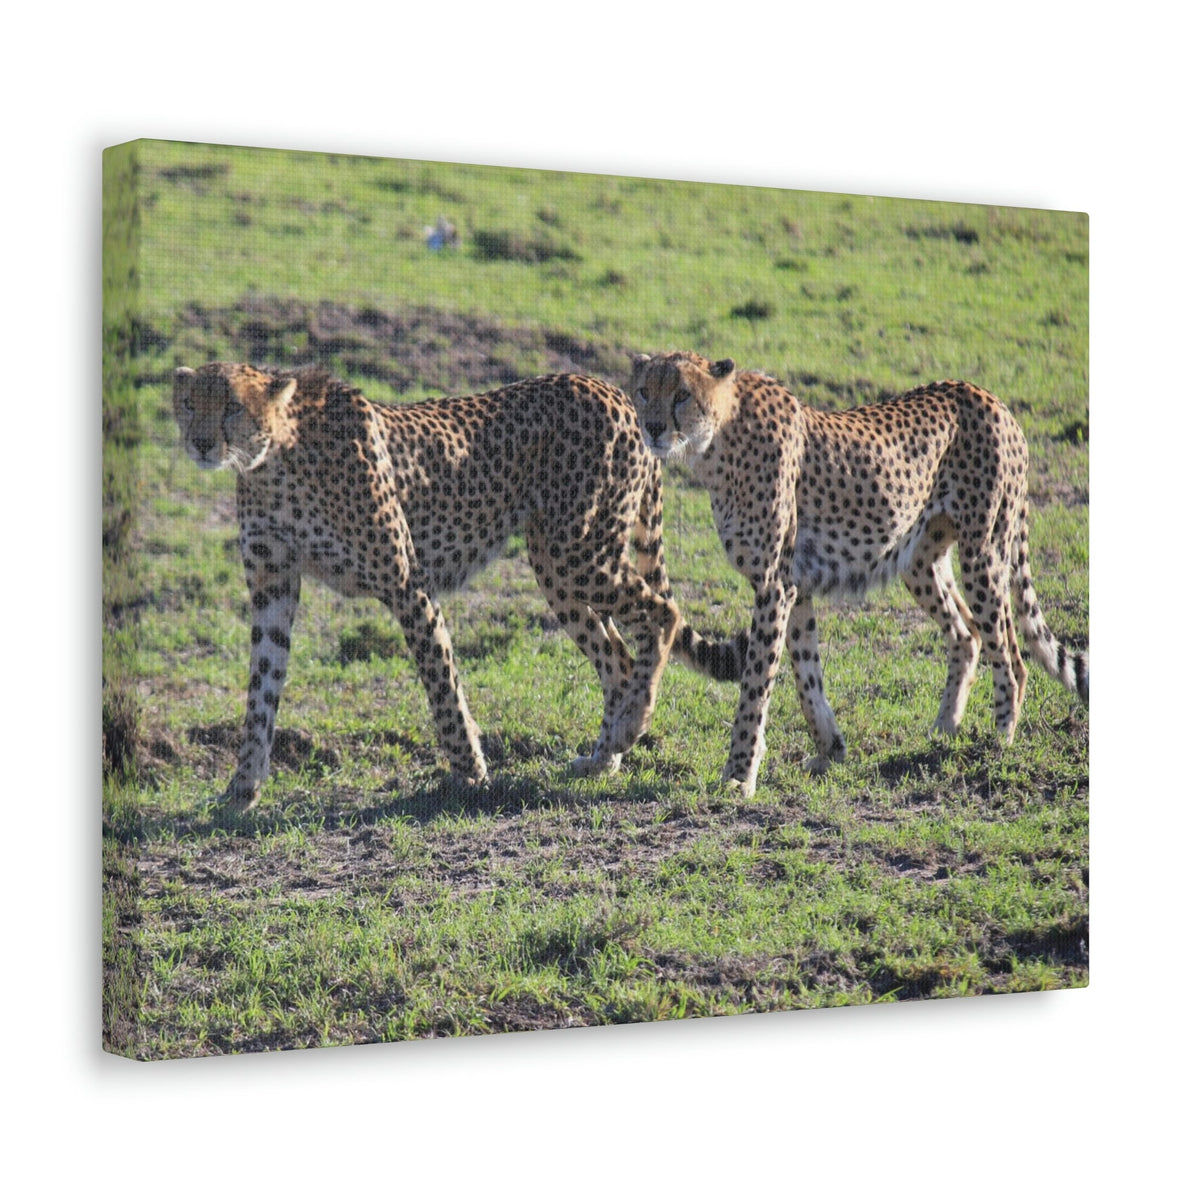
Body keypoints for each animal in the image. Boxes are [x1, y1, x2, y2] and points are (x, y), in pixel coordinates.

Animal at [172, 362, 743, 811]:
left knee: (662, 613)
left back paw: (629, 727)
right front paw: (241, 788)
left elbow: (440, 681)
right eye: (188, 403)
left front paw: (469, 772)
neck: (273, 461)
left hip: (579, 552)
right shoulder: (273, 588)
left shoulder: (406, 582)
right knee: (619, 657)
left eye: (231, 407)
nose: (200, 443)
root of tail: (614, 391)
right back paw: (604, 758)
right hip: (556, 567)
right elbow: (261, 692)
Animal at [631, 350, 1089, 798]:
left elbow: (757, 683)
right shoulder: (795, 585)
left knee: (1011, 657)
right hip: (918, 560)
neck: (716, 441)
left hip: (984, 551)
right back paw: (944, 731)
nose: (652, 428)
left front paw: (740, 773)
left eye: (682, 395)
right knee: (967, 632)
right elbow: (806, 674)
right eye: (643, 391)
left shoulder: (774, 585)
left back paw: (999, 743)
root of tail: (988, 396)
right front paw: (830, 750)